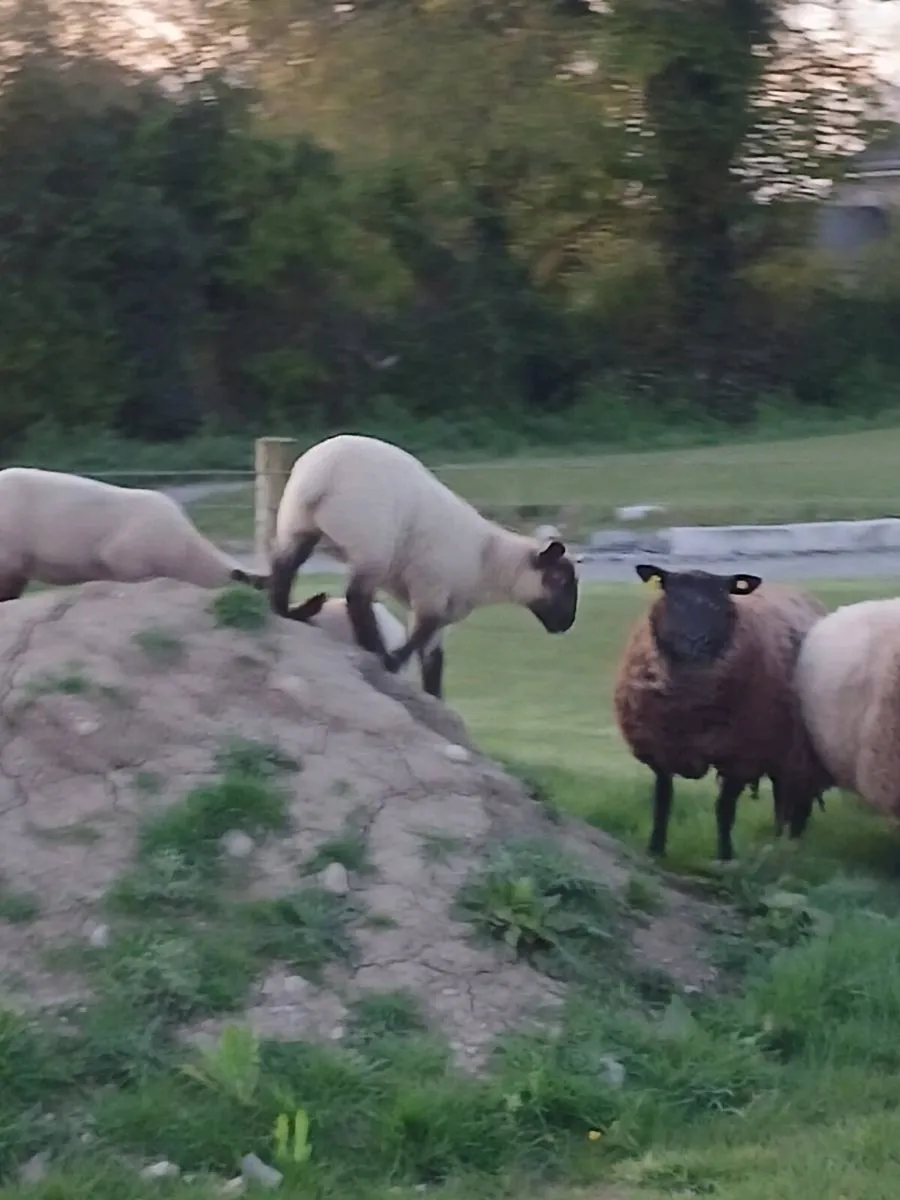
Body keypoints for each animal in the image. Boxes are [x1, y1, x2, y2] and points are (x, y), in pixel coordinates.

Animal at [613, 564, 831, 861]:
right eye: (674, 597)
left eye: (720, 601)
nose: (695, 641)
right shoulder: (660, 749)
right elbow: (662, 801)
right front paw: (655, 849)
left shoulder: (739, 756)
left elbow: (724, 809)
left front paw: (725, 856)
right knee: (782, 796)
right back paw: (778, 840)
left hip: (798, 753)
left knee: (799, 799)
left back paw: (793, 845)